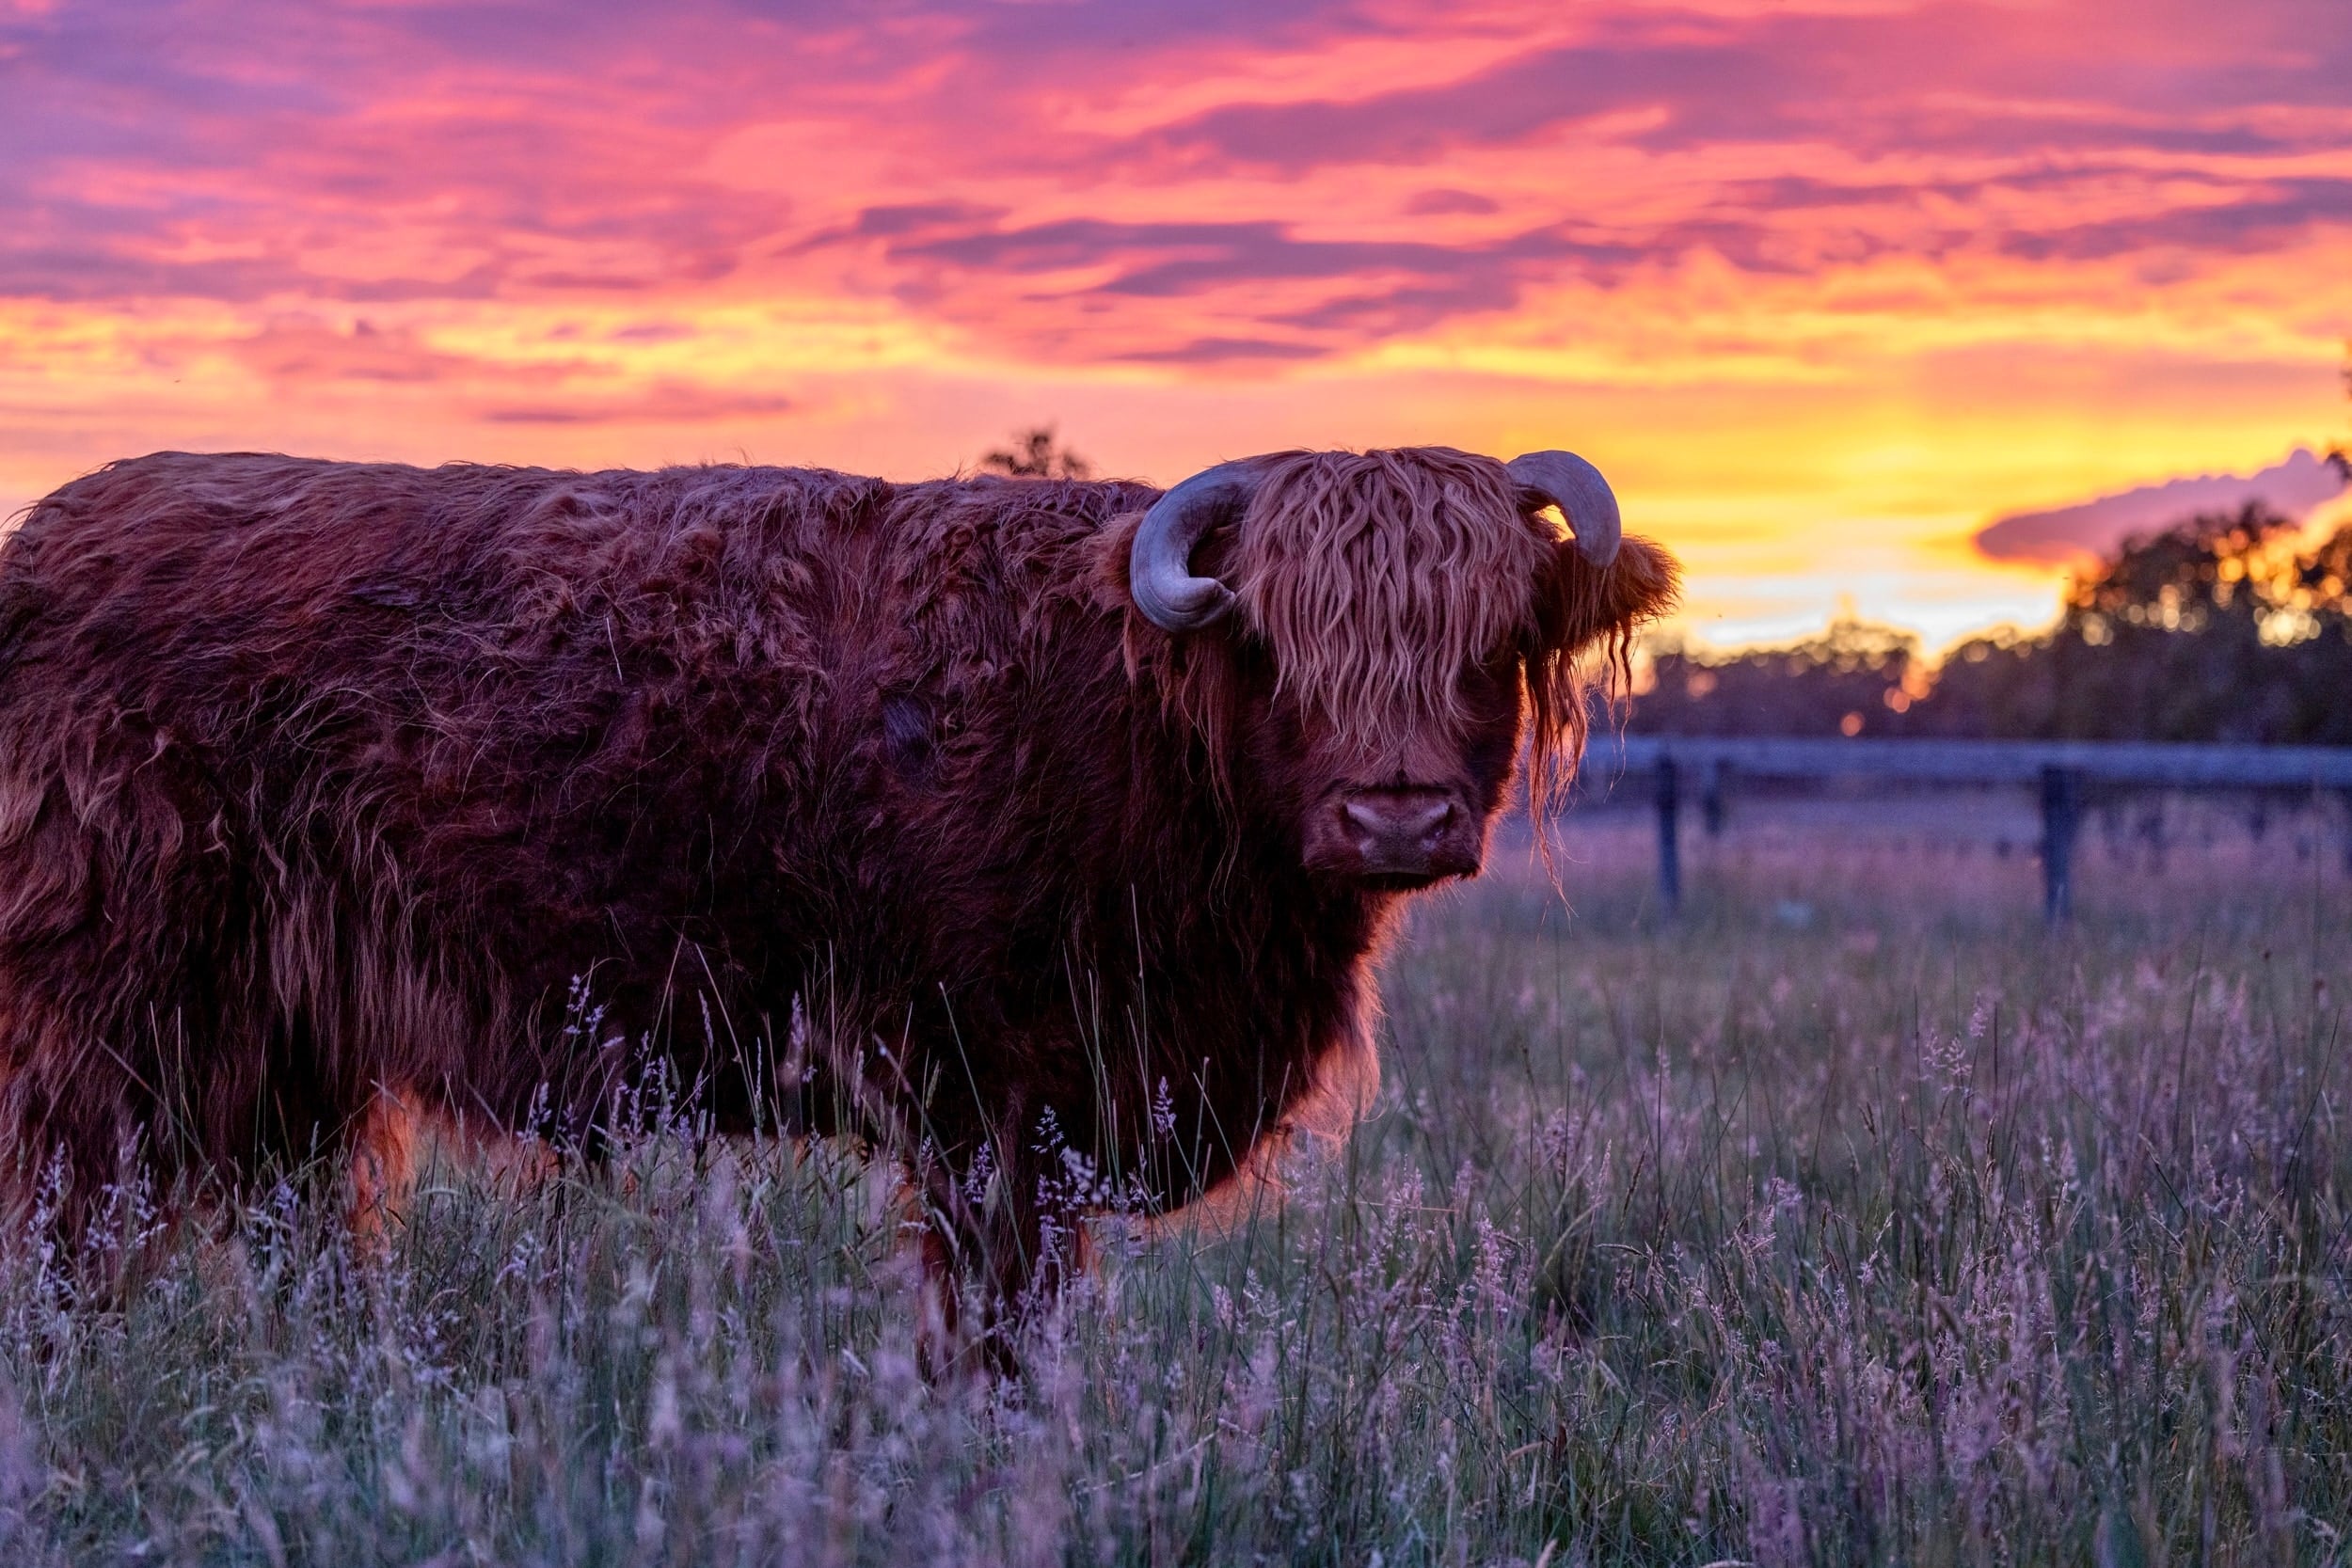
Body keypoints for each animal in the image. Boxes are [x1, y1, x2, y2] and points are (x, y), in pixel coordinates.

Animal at [0, 445, 1675, 1345]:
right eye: (1288, 642)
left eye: (1484, 641)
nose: (1395, 810)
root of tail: (47, 537)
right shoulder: (996, 1093)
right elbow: (996, 1315)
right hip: (97, 1008)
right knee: (63, 1214)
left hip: (284, 1033)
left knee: (293, 1223)